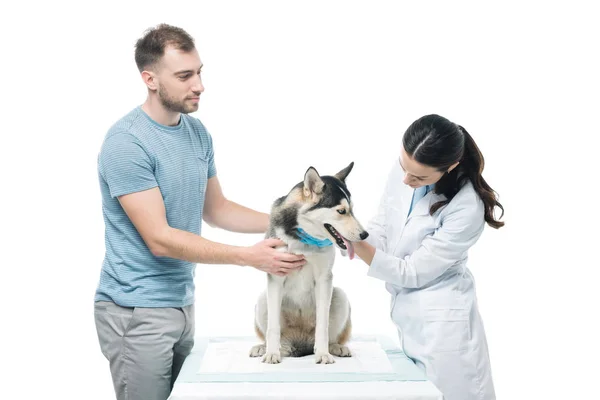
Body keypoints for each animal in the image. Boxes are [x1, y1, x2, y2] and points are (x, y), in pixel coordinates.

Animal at [247, 163, 368, 366]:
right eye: (341, 211)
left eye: (352, 209)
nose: (365, 235)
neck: (306, 239)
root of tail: (300, 343)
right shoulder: (276, 275)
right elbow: (272, 327)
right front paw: (271, 353)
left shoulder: (324, 278)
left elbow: (323, 325)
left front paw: (323, 354)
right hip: (263, 299)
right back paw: (265, 347)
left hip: (340, 296)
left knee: (330, 334)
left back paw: (335, 347)